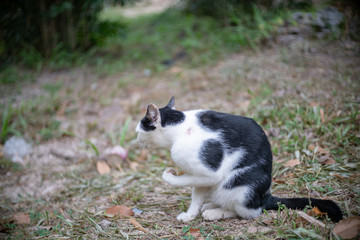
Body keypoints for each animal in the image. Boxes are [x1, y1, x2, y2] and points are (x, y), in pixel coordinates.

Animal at [135, 96, 344, 222]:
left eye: (139, 130)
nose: (136, 140)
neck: (179, 128)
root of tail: (265, 197)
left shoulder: (209, 172)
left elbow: (182, 180)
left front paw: (169, 175)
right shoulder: (200, 177)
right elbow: (196, 195)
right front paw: (189, 215)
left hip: (239, 185)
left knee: (250, 212)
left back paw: (215, 212)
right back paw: (211, 204)